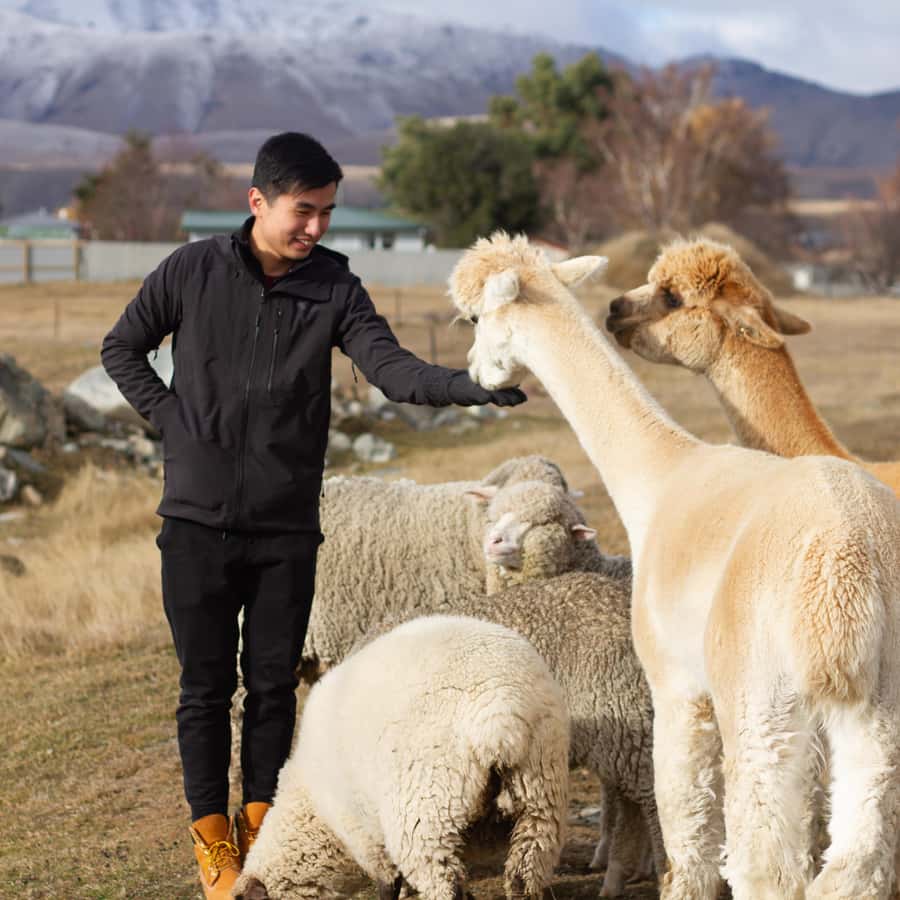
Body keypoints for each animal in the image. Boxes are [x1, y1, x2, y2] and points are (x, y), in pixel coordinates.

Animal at [232, 614, 570, 900]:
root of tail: (500, 711)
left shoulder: (365, 835)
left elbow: (387, 883)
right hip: (540, 798)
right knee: (524, 877)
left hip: (426, 813)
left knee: (444, 888)